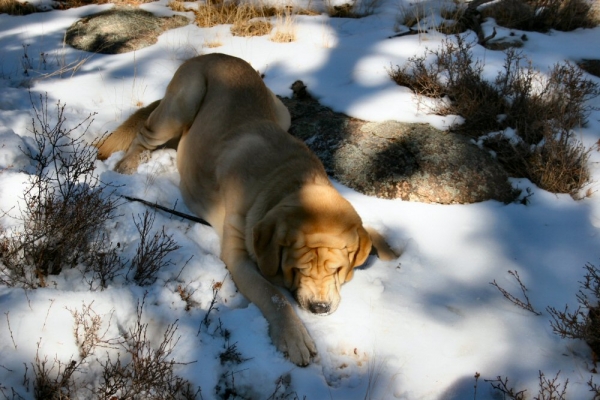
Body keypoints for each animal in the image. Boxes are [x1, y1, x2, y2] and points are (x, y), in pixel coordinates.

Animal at [97, 53, 398, 366]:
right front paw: (294, 337)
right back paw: (127, 165)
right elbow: (273, 295)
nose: (320, 307)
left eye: (337, 269)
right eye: (299, 269)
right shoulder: (238, 256)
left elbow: (369, 233)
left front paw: (388, 249)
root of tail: (214, 56)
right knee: (143, 137)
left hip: (281, 114)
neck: (287, 180)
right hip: (183, 102)